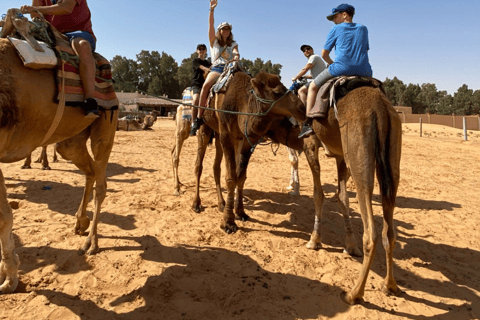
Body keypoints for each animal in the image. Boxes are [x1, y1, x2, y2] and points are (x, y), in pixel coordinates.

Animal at [0, 18, 118, 292]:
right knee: (88, 170)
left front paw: (9, 279)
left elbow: (2, 216)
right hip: (70, 140)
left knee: (101, 182)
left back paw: (90, 242)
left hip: (106, 125)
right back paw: (80, 222)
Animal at [190, 71, 304, 232]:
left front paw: (240, 212)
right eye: (276, 92)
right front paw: (228, 222)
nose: (302, 108)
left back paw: (221, 203)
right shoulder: (227, 135)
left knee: (216, 167)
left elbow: (241, 176)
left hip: (217, 134)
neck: (241, 105)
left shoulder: (246, 140)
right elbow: (231, 178)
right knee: (198, 165)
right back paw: (197, 204)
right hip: (205, 126)